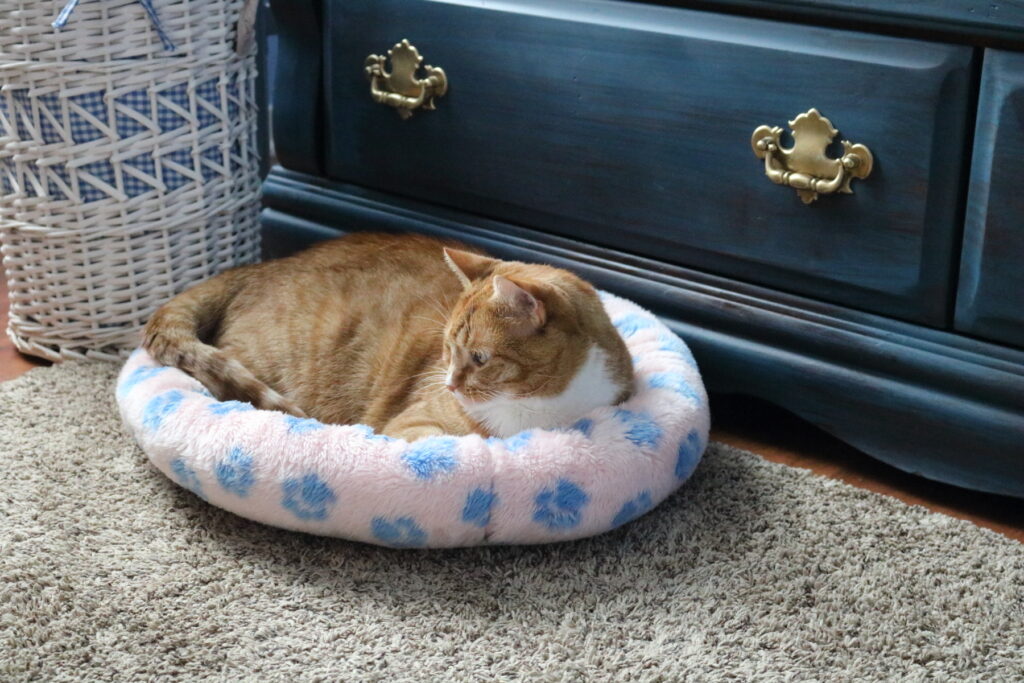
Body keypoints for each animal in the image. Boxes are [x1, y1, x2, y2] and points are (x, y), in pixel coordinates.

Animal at [143, 232, 630, 440]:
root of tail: (260, 266)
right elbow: (460, 441)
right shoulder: (413, 427)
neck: (543, 410)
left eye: (479, 359)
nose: (450, 385)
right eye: (447, 350)